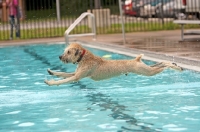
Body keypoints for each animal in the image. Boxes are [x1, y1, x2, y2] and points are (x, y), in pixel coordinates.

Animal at [44, 42, 183, 86]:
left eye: (68, 52)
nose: (60, 56)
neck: (84, 58)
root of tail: (136, 59)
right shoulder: (76, 73)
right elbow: (63, 74)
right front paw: (52, 72)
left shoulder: (77, 77)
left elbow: (64, 80)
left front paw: (50, 82)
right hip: (145, 69)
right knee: (159, 64)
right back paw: (174, 64)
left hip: (147, 72)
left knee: (163, 66)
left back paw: (176, 67)